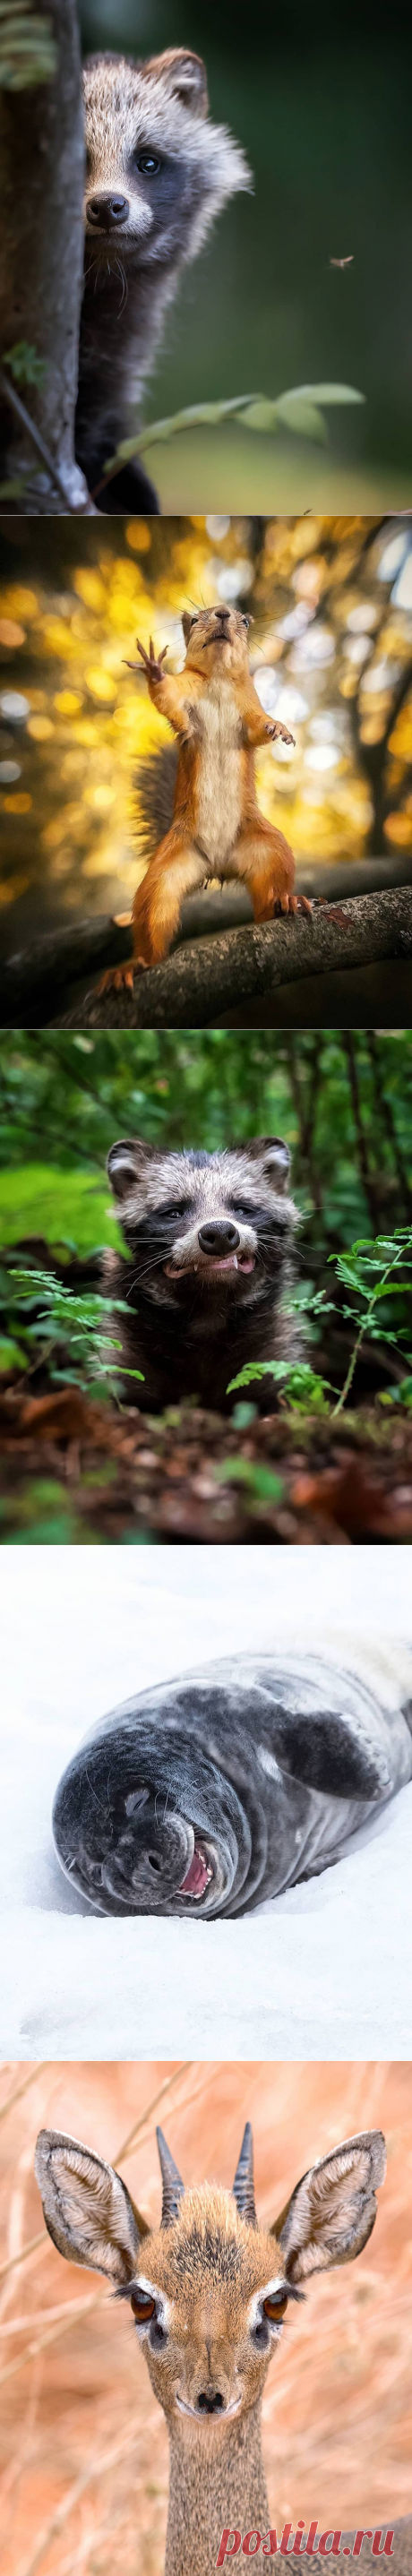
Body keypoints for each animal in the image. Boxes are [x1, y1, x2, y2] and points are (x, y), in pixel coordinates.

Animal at [106, 605, 311, 994]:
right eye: (195, 617)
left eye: (246, 621)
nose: (224, 613)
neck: (217, 679)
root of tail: (218, 866)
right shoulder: (185, 701)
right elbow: (169, 699)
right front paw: (154, 669)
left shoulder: (250, 707)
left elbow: (258, 728)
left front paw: (279, 728)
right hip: (166, 872)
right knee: (154, 914)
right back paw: (137, 965)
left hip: (270, 850)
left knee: (266, 904)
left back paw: (285, 902)